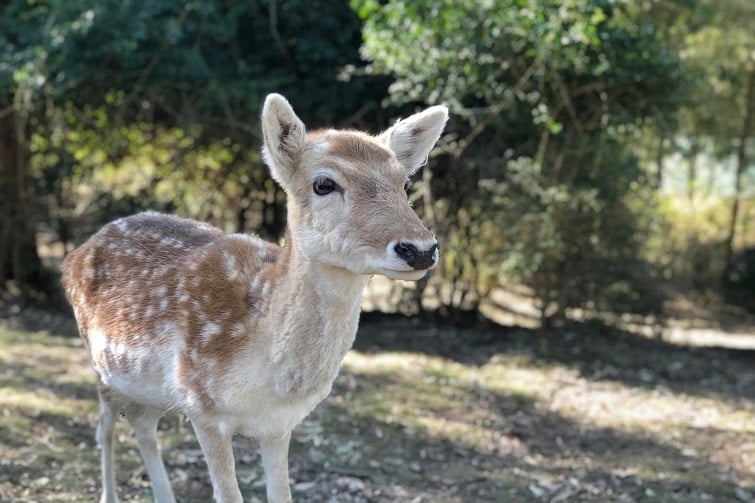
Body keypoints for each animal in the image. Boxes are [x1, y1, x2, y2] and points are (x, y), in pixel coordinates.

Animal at [60, 93, 448, 503]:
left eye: (404, 182)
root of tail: (73, 256)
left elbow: (282, 494)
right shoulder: (201, 405)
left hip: (150, 387)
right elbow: (229, 495)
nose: (420, 249)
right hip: (102, 365)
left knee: (142, 423)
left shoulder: (278, 424)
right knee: (104, 428)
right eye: (324, 183)